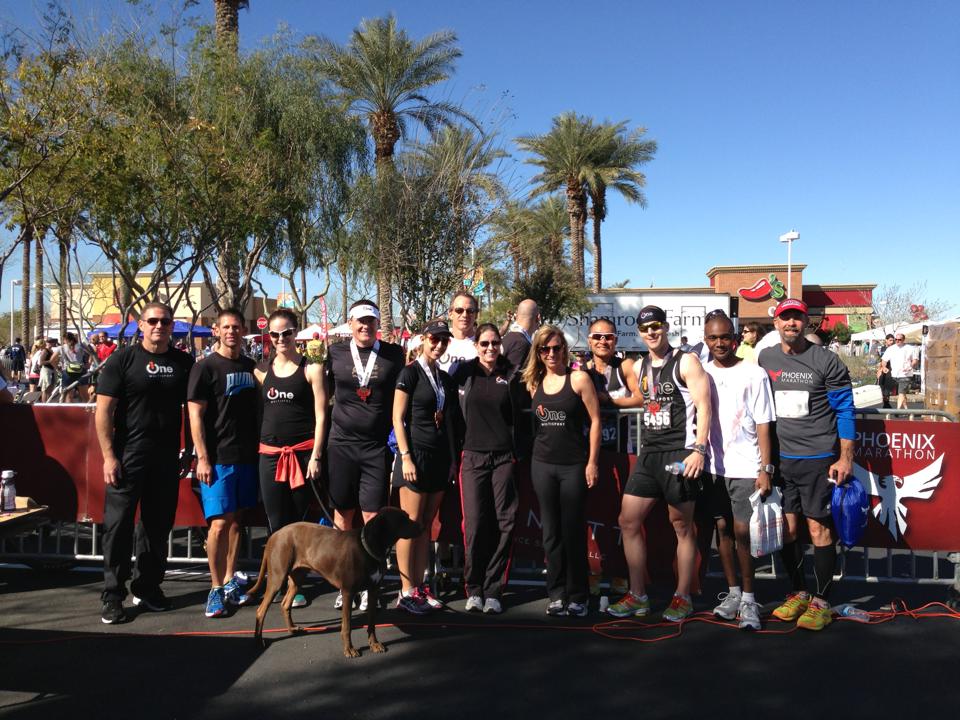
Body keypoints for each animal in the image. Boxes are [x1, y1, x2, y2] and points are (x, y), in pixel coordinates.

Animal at [242, 506, 421, 658]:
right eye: (401, 520)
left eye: (407, 516)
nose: (422, 526)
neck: (367, 548)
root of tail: (275, 534)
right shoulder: (348, 592)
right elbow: (347, 626)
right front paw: (349, 649)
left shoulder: (373, 589)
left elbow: (371, 622)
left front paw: (374, 644)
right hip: (277, 579)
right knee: (261, 610)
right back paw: (258, 640)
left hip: (298, 578)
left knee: (285, 604)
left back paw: (291, 629)